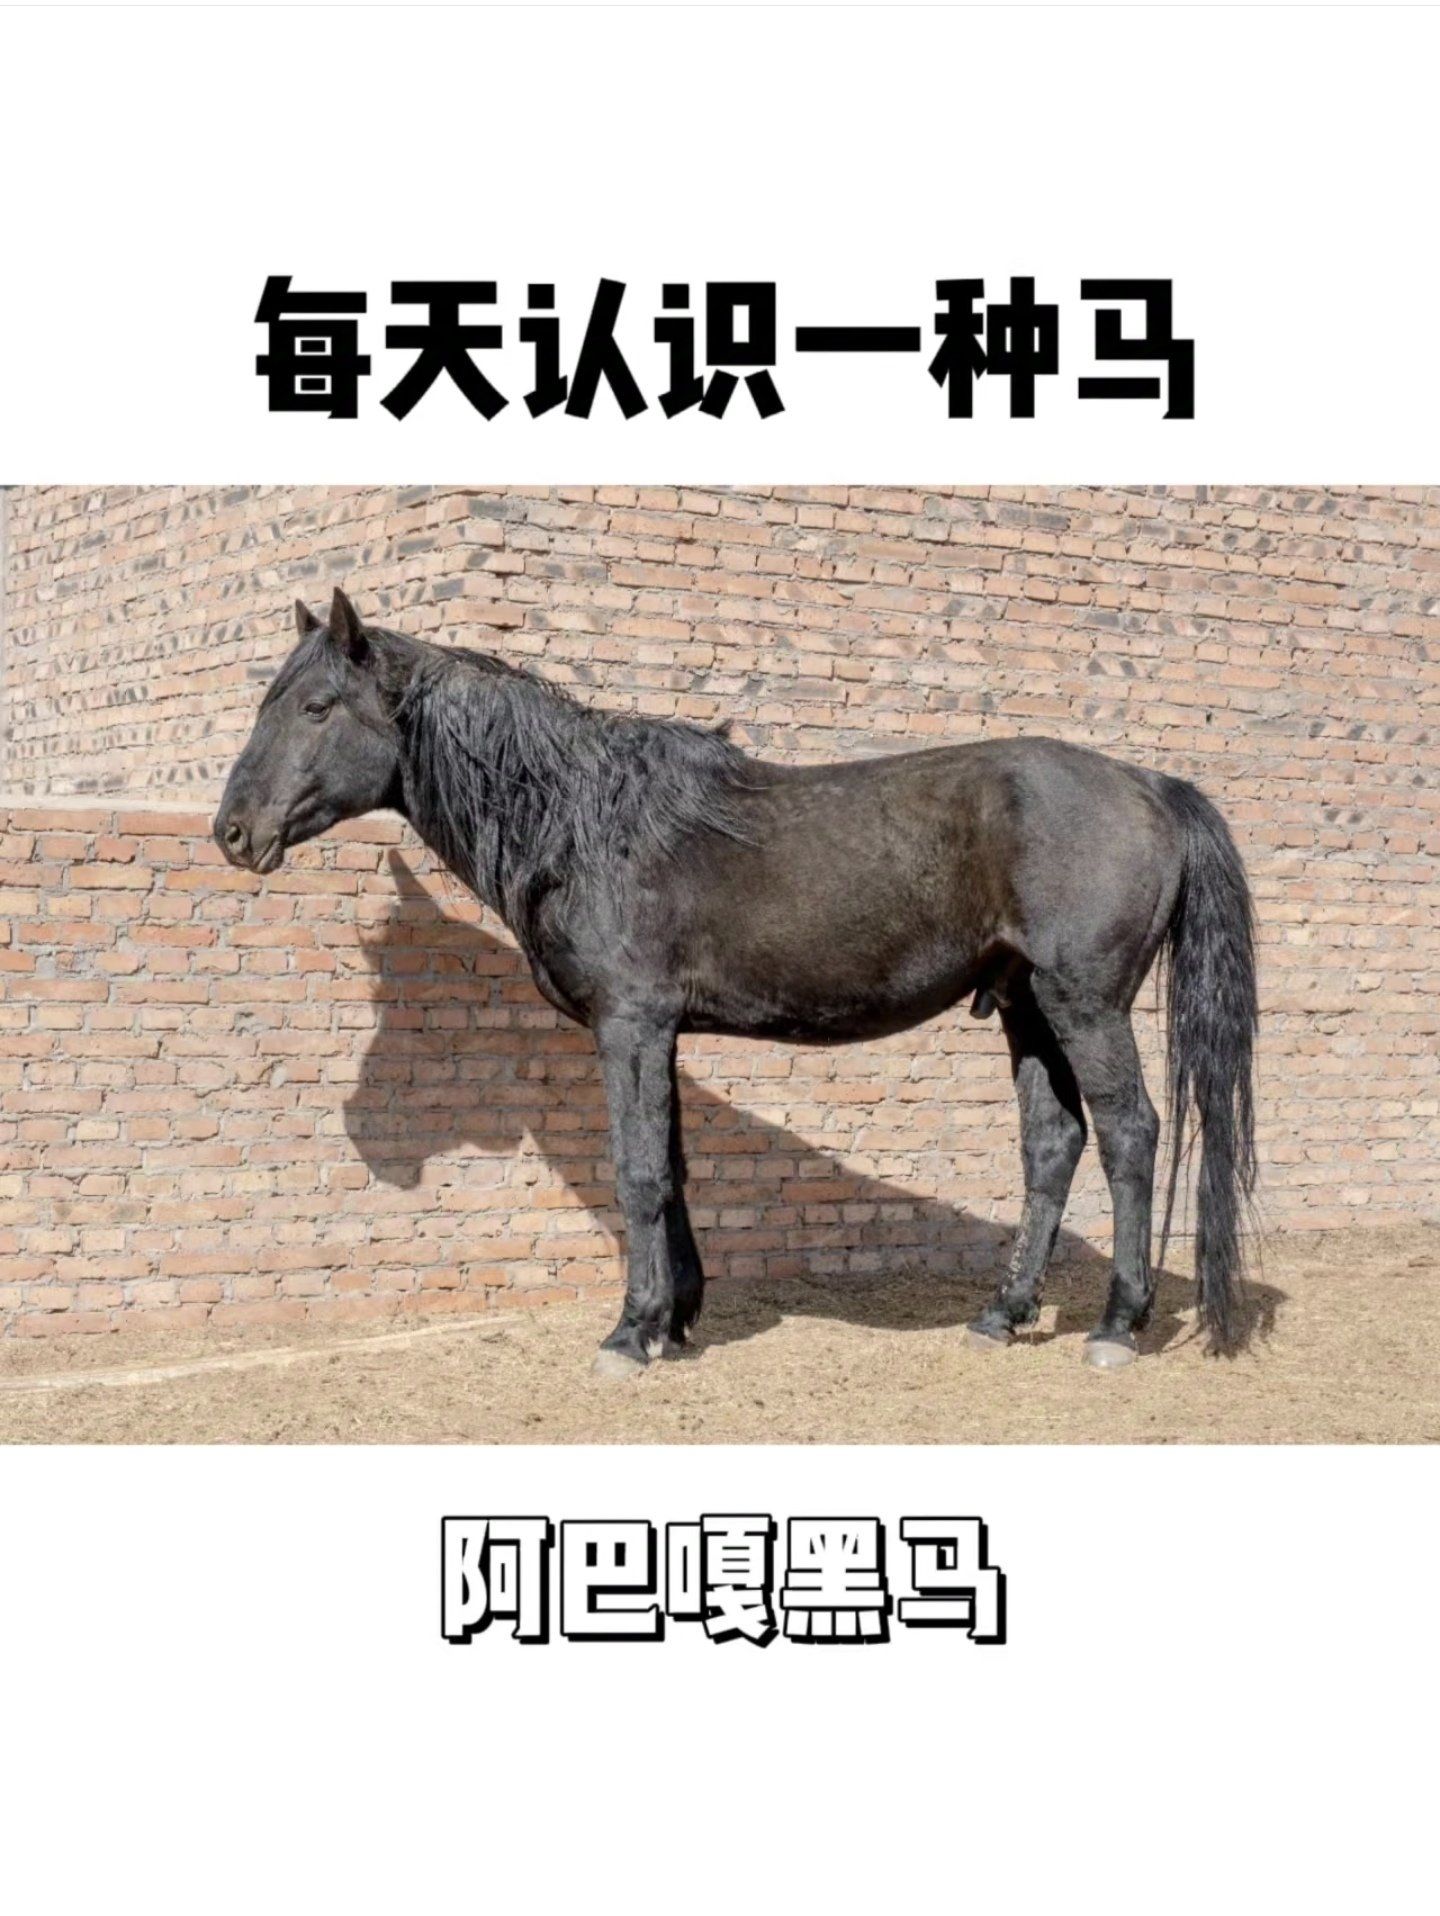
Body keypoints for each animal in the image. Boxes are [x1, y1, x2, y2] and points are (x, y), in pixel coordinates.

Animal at [214, 588, 1258, 1375]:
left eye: (316, 708)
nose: (232, 831)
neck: (585, 821)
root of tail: (1150, 785)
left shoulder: (630, 1024)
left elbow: (637, 1171)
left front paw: (631, 1333)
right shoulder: (661, 1030)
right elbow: (671, 1167)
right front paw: (676, 1319)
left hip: (1085, 1005)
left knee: (1129, 1135)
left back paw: (1116, 1325)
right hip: (1026, 1008)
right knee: (1052, 1144)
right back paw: (1002, 1313)